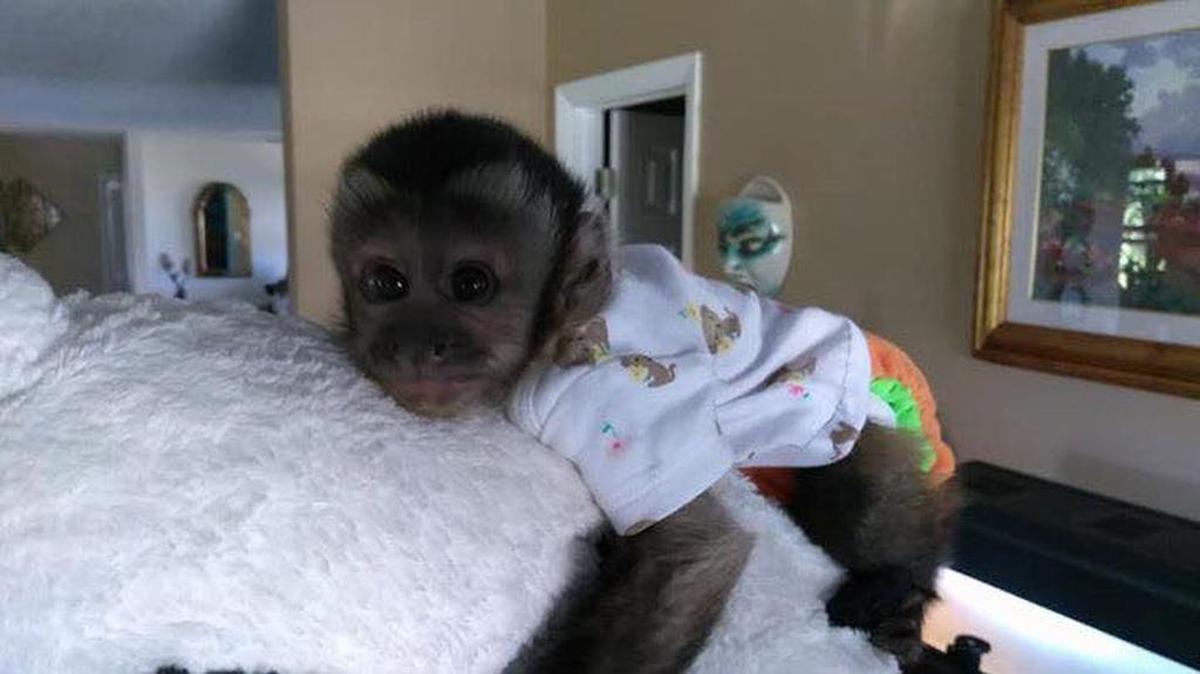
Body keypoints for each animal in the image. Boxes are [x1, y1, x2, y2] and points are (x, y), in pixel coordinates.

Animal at [329, 111, 959, 673]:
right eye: (385, 283)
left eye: (471, 284)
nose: (415, 345)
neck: (549, 342)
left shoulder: (600, 392)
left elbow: (697, 553)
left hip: (855, 400)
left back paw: (899, 588)